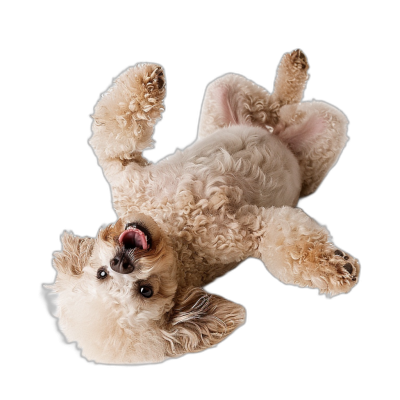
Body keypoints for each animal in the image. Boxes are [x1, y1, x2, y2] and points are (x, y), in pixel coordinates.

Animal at [45, 50, 360, 366]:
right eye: (145, 291)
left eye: (101, 273)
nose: (120, 262)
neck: (172, 225)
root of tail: (278, 132)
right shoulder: (246, 232)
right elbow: (287, 247)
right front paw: (336, 268)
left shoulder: (124, 174)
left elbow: (116, 135)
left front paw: (148, 82)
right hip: (325, 138)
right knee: (281, 111)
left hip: (225, 90)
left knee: (273, 106)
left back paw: (292, 68)